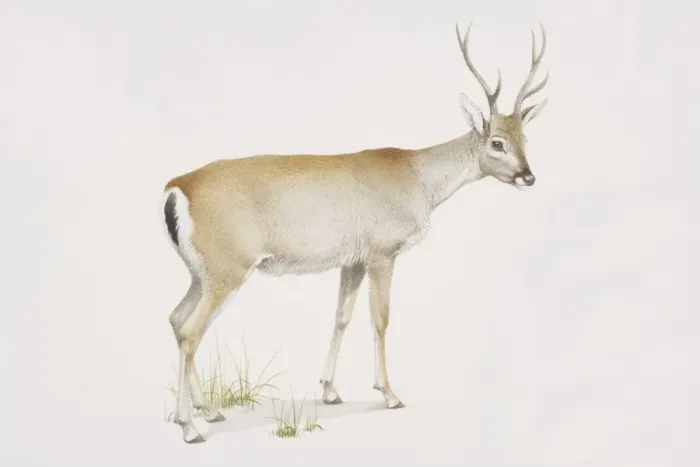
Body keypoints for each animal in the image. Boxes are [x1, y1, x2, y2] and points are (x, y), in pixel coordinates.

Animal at [159, 22, 549, 443]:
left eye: (525, 139)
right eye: (497, 142)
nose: (528, 176)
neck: (417, 179)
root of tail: (176, 188)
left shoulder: (353, 260)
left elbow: (341, 316)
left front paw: (330, 390)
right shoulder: (382, 252)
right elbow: (381, 318)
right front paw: (390, 394)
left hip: (200, 272)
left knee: (177, 319)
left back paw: (206, 412)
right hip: (226, 269)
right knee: (191, 330)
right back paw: (190, 427)